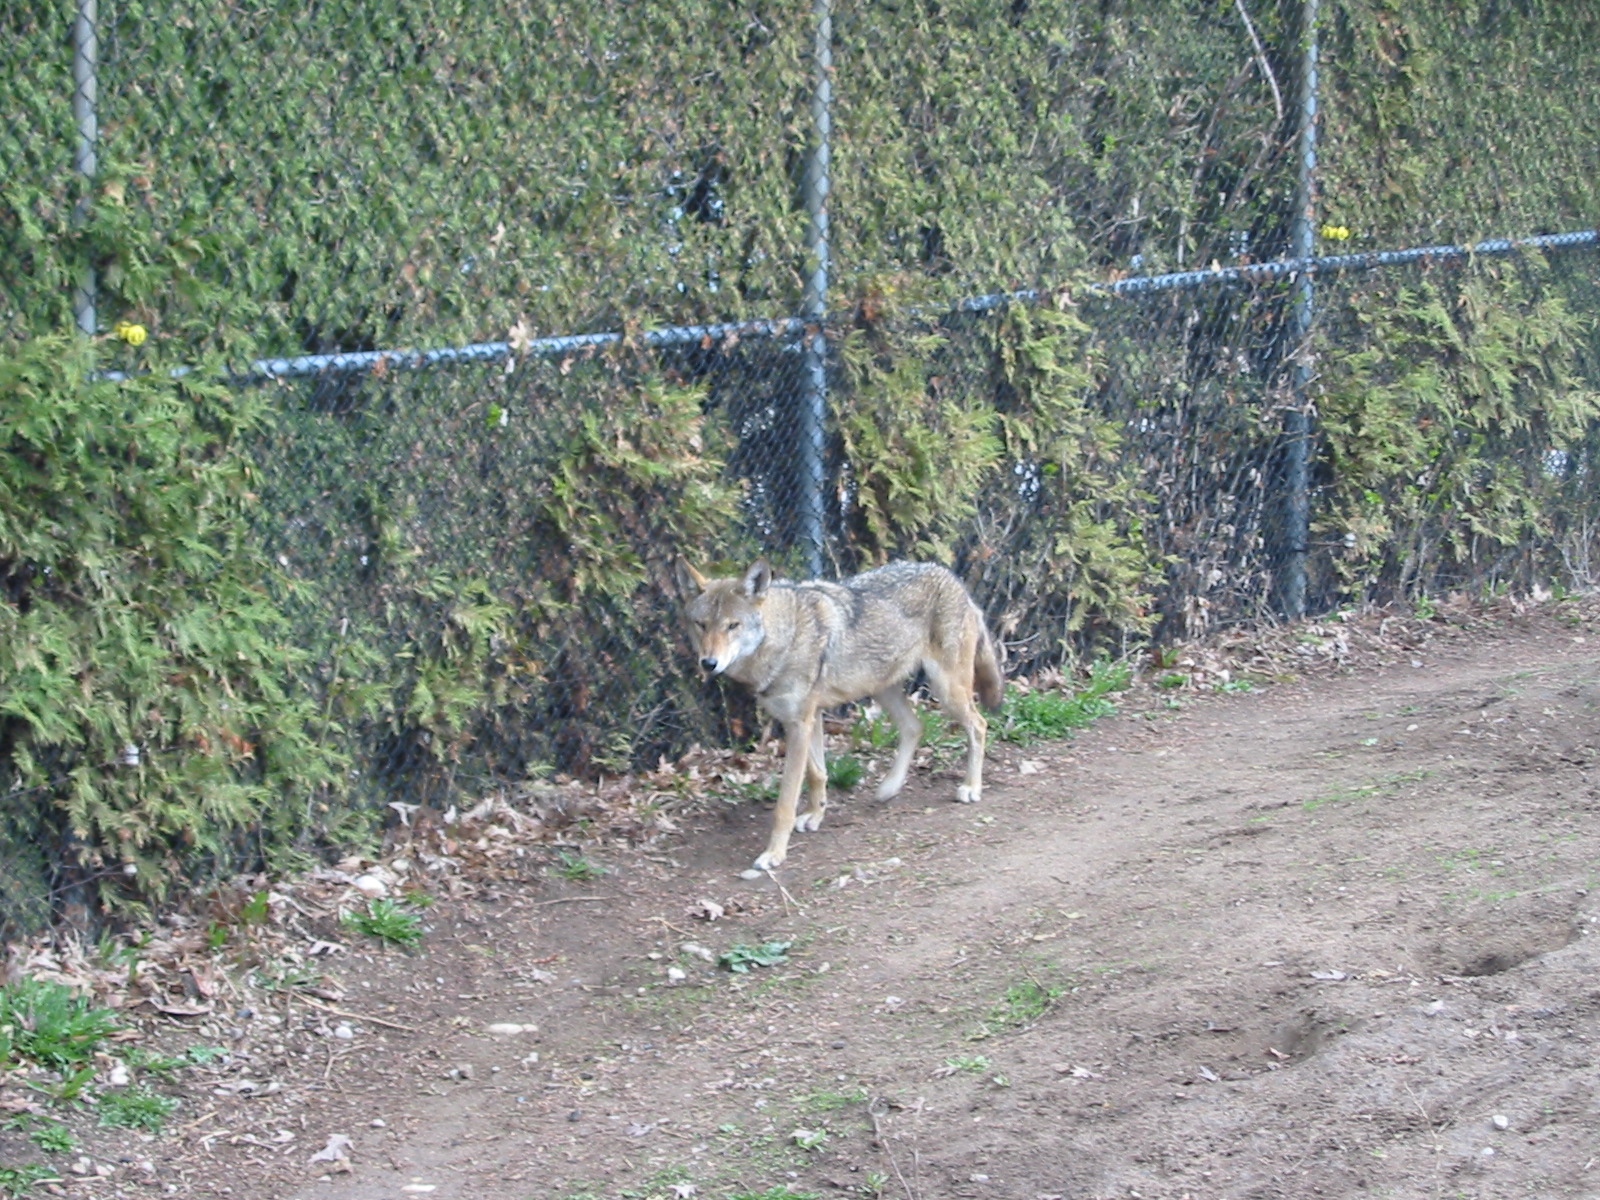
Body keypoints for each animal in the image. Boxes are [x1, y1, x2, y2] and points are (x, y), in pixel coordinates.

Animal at [674, 558, 1005, 871]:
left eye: (733, 625)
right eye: (701, 624)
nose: (708, 663)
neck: (786, 637)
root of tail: (954, 579)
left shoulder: (799, 723)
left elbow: (785, 803)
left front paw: (774, 854)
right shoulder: (806, 719)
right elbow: (817, 773)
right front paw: (815, 815)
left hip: (946, 689)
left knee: (979, 725)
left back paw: (971, 787)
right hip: (883, 688)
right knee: (915, 726)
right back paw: (889, 788)